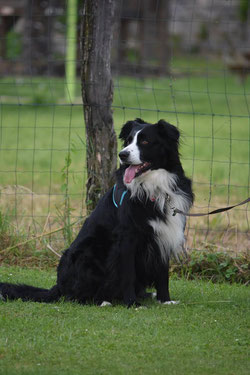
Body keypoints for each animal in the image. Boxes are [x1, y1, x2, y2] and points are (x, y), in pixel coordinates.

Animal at [0, 119, 193, 306]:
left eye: (145, 141)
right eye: (128, 140)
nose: (122, 155)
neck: (153, 187)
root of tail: (58, 286)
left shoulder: (164, 234)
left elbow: (163, 274)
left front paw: (165, 300)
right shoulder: (126, 238)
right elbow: (128, 273)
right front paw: (132, 303)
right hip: (87, 253)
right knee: (74, 296)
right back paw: (102, 301)